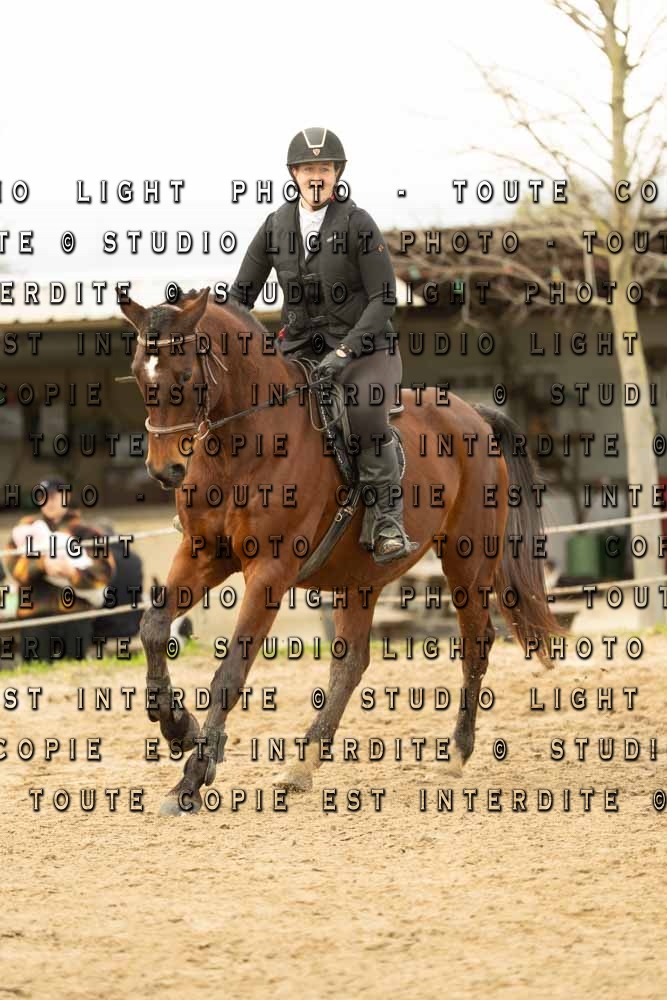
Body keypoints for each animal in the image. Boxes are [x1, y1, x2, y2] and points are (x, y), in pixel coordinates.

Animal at [118, 286, 561, 815]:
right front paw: (176, 725)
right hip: (359, 577)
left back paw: (455, 753)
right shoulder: (202, 554)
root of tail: (473, 415)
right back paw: (302, 764)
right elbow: (151, 628)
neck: (241, 447)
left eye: (185, 376)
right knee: (351, 664)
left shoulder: (270, 572)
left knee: (476, 645)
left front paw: (191, 779)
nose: (164, 470)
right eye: (139, 373)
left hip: (466, 558)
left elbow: (230, 672)